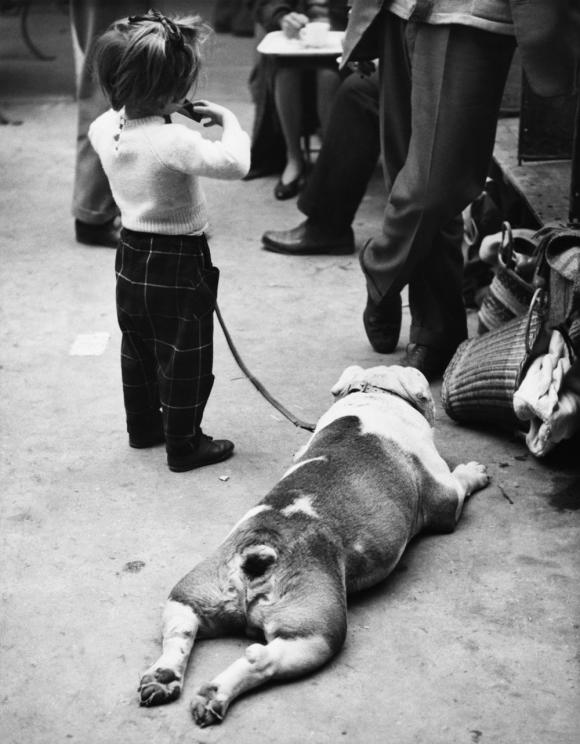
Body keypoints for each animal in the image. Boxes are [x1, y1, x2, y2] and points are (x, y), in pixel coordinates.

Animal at [137, 366, 490, 728]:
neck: (376, 394)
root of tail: (259, 554)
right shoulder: (446, 498)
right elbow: (459, 486)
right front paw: (474, 472)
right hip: (316, 629)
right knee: (262, 660)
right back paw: (214, 696)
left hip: (194, 591)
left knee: (180, 630)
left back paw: (164, 680)